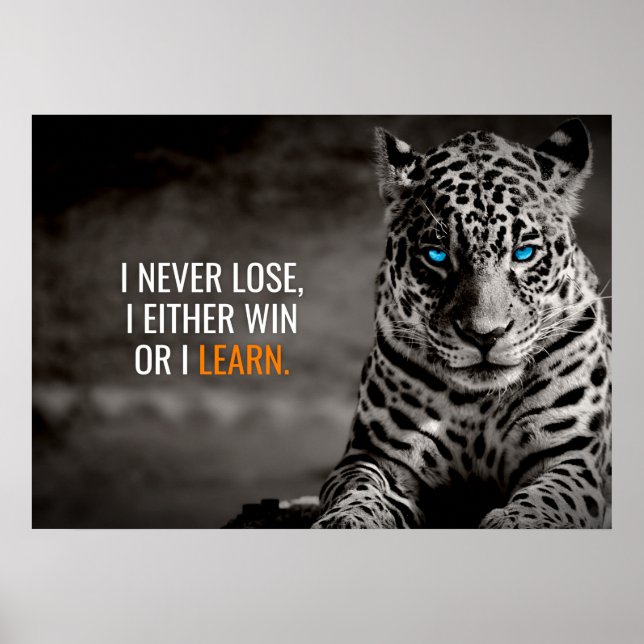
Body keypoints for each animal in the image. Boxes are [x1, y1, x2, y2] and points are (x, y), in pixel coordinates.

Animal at [312, 118, 611, 529]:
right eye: (437, 255)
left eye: (524, 253)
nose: (484, 336)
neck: (479, 403)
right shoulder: (375, 455)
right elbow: (359, 489)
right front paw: (346, 521)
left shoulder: (573, 454)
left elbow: (549, 498)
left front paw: (514, 521)